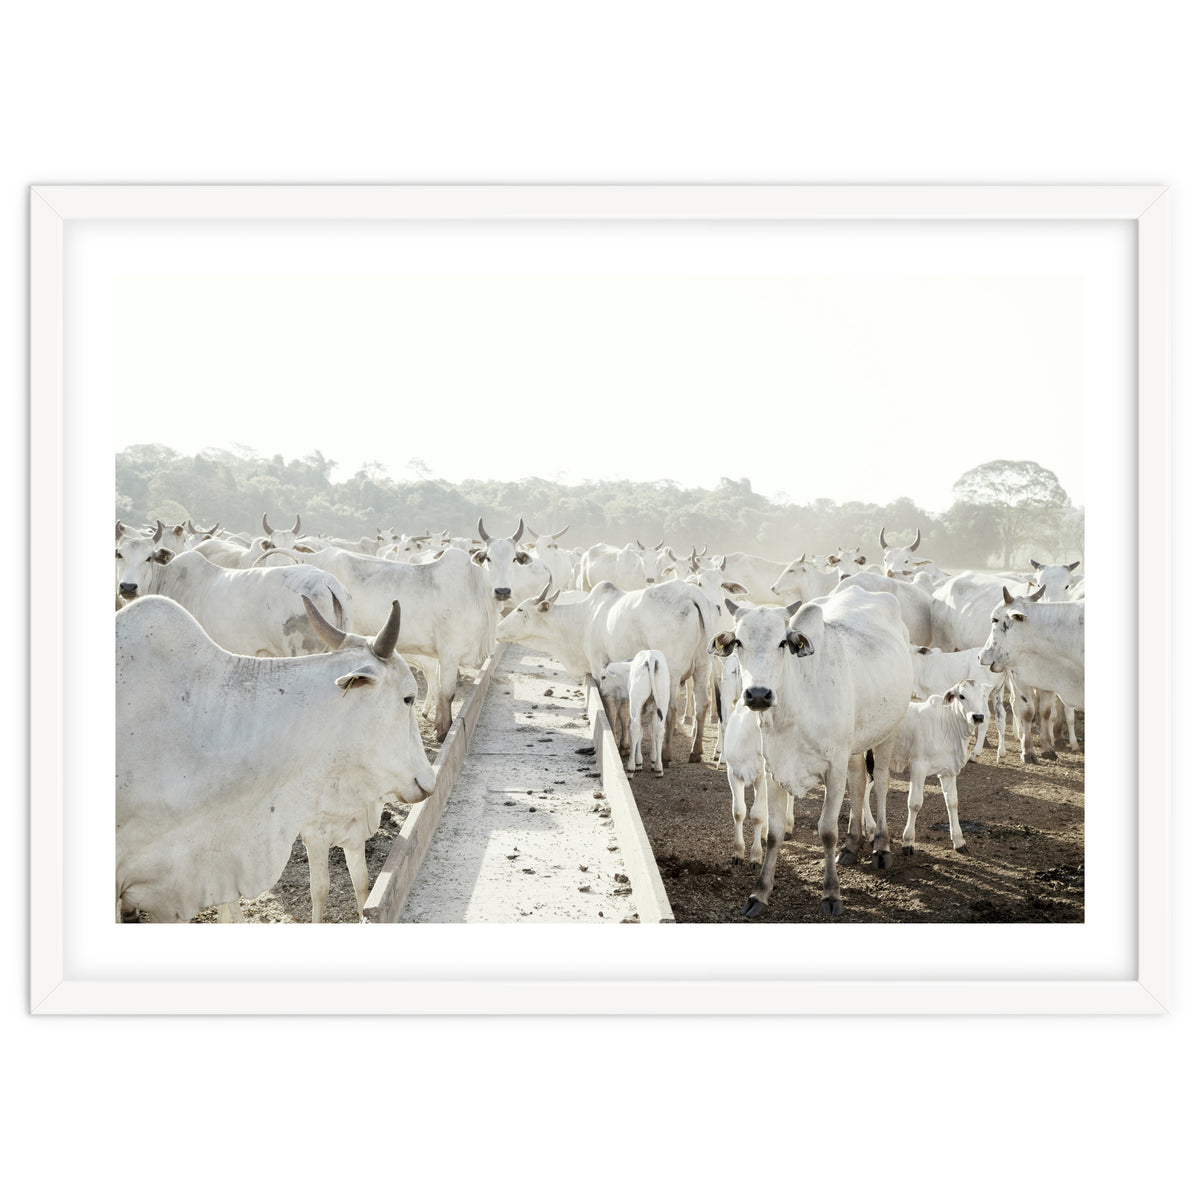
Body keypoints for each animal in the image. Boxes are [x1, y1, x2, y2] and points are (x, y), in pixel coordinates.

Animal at [497, 578, 716, 765]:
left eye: (520, 609)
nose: (498, 628)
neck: (584, 619)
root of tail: (690, 592)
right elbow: (624, 711)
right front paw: (625, 745)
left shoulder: (598, 667)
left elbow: (609, 707)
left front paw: (614, 740)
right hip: (703, 667)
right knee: (702, 704)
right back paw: (696, 752)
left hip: (671, 672)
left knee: (671, 709)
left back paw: (666, 753)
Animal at [711, 586, 913, 917]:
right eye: (739, 641)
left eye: (783, 641)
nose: (758, 695)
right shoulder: (774, 770)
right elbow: (773, 833)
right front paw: (759, 893)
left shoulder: (833, 768)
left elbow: (827, 831)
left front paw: (831, 894)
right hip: (853, 746)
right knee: (859, 783)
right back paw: (852, 844)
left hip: (888, 730)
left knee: (881, 782)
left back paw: (881, 847)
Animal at [882, 679, 991, 856]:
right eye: (962, 696)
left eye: (983, 695)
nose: (978, 716)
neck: (947, 727)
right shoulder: (918, 766)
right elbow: (915, 803)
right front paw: (908, 841)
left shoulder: (948, 772)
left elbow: (952, 802)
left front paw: (959, 841)